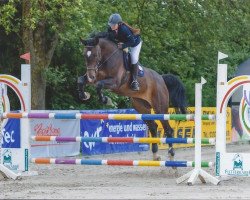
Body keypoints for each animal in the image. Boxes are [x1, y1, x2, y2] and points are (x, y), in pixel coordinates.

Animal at [77, 32, 187, 161]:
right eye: (84, 55)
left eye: (95, 55)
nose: (91, 76)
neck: (107, 58)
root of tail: (161, 78)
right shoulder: (96, 77)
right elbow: (81, 80)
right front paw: (84, 95)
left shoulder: (115, 82)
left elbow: (99, 85)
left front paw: (105, 100)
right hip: (141, 106)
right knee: (153, 126)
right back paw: (155, 155)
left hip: (160, 107)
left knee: (168, 129)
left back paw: (171, 154)